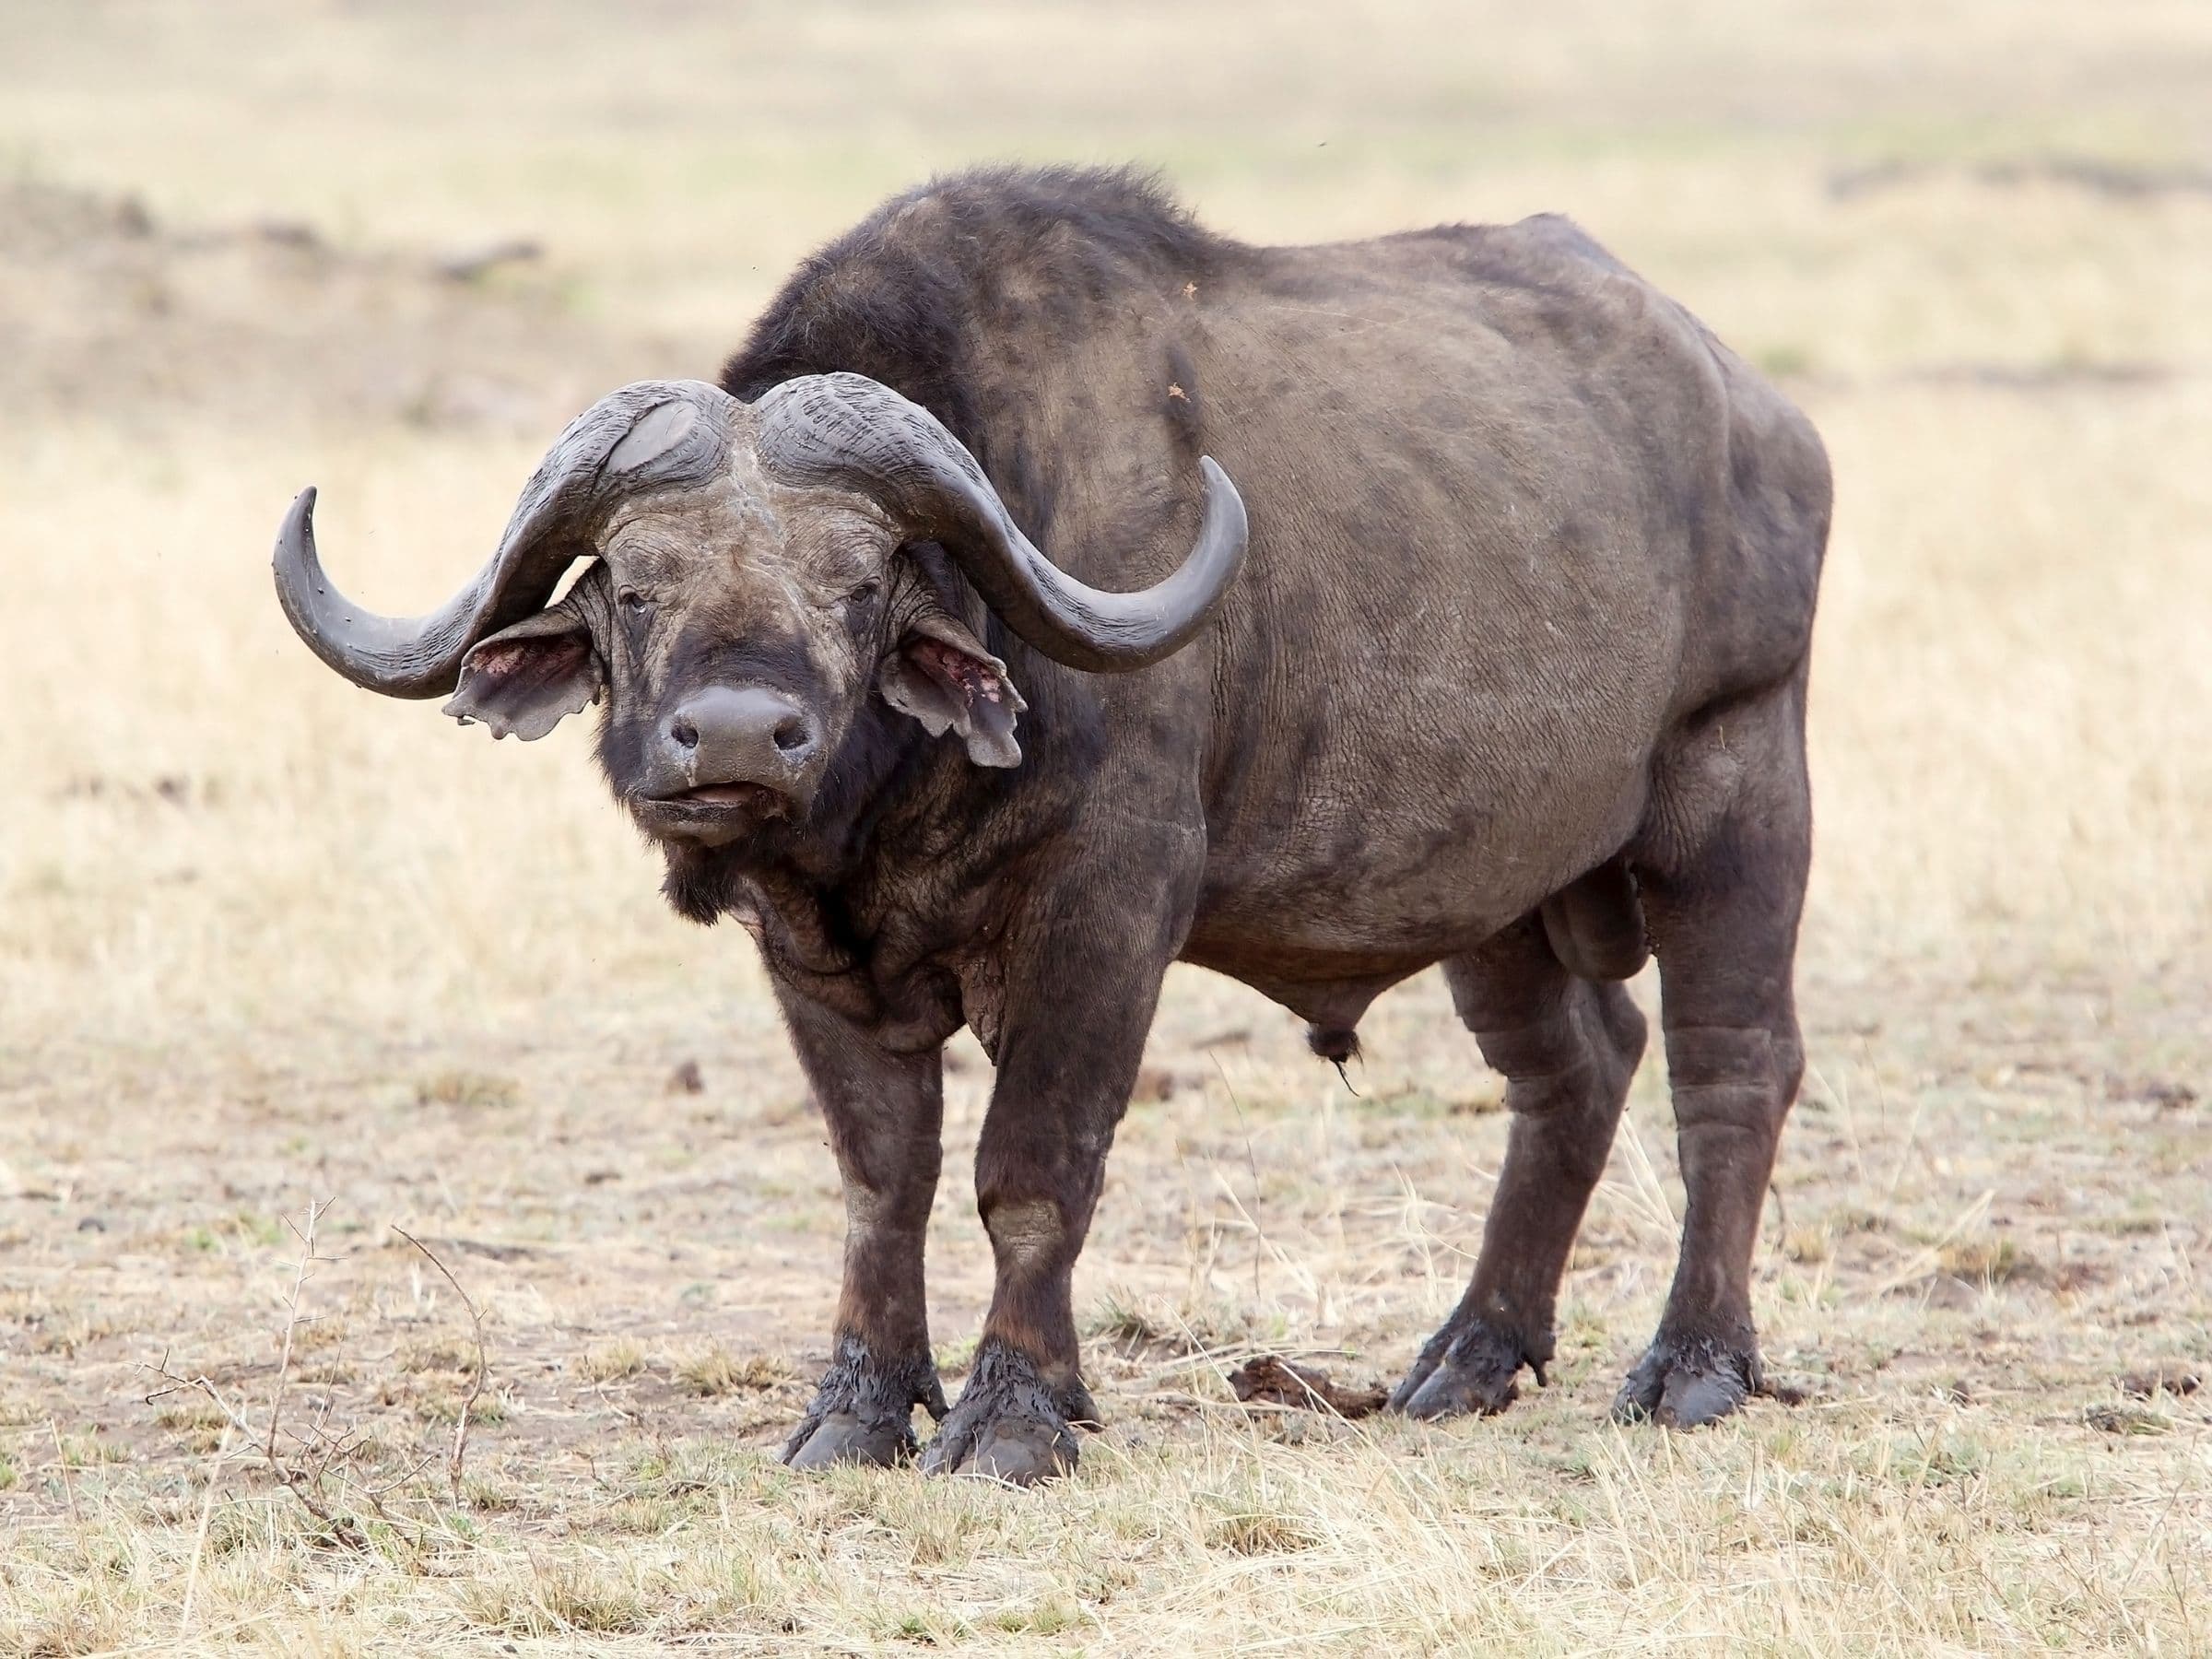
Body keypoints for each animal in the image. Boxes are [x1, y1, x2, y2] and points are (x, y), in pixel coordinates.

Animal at [273, 165, 1831, 1483]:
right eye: (636, 586)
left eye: (861, 583)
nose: (737, 738)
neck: (890, 819)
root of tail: (1763, 420)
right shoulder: (806, 957)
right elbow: (880, 1179)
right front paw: (855, 1411)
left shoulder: (1104, 915)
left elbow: (1030, 1171)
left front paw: (1014, 1415)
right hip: (1488, 890)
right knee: (1575, 1066)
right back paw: (1472, 1355)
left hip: (1739, 788)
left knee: (1731, 1067)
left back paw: (1694, 1365)